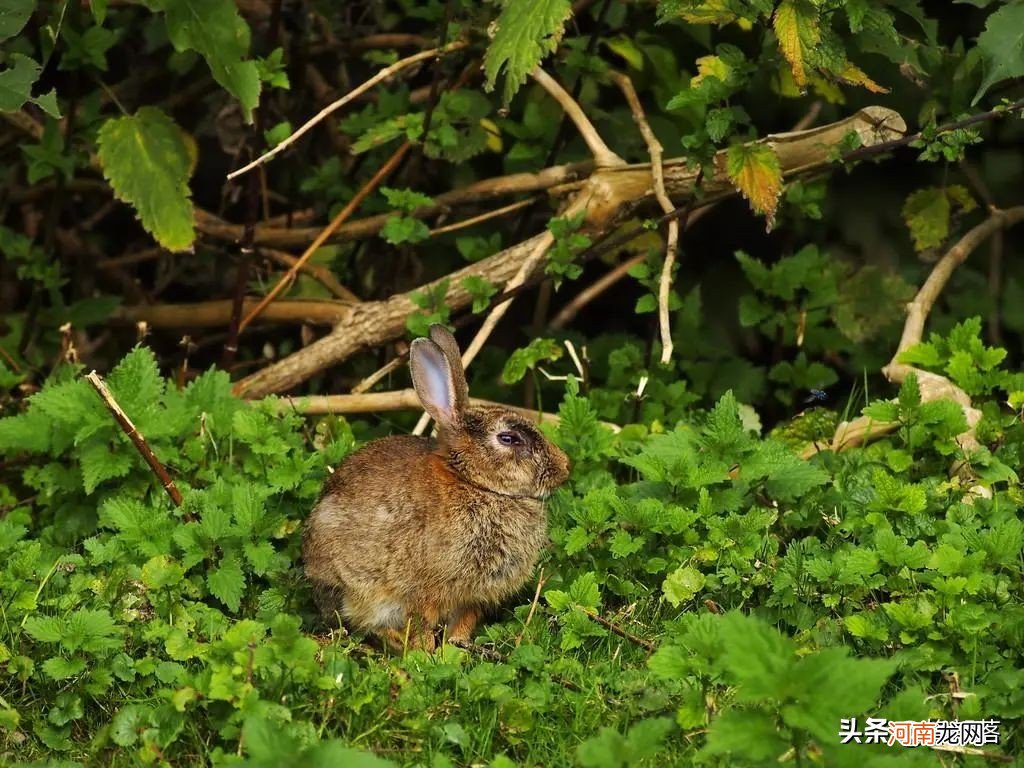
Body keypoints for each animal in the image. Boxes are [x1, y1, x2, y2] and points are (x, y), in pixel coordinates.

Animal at [303, 321, 573, 651]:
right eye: (509, 439)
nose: (565, 467)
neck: (475, 484)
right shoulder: (423, 591)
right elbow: (421, 622)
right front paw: (427, 652)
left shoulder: (471, 599)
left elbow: (464, 621)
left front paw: (456, 646)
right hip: (358, 587)